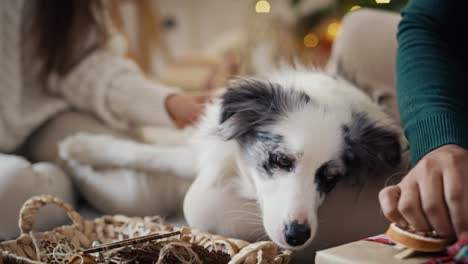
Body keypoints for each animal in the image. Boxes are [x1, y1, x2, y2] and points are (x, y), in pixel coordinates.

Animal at [60, 69, 404, 251]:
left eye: (331, 178)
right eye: (280, 160)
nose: (297, 236)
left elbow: (159, 156)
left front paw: (81, 147)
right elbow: (150, 150)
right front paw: (81, 146)